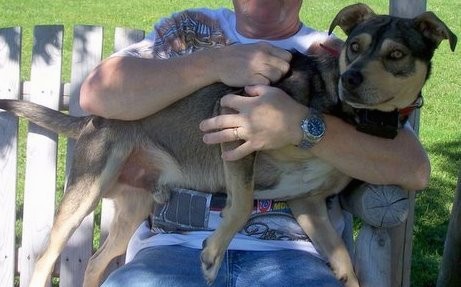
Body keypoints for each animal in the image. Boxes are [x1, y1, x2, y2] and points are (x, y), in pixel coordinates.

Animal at [0, 2, 452, 287]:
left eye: (395, 54)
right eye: (354, 47)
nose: (351, 78)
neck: (340, 111)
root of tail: (90, 119)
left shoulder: (308, 203)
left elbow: (343, 260)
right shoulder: (235, 125)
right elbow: (240, 203)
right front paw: (213, 254)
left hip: (134, 205)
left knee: (95, 264)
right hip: (87, 188)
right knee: (44, 259)